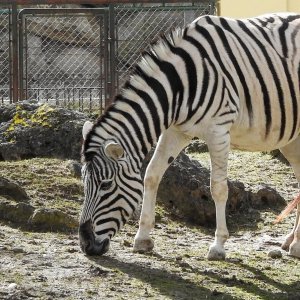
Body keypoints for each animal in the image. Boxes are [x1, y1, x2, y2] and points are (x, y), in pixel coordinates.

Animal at [78, 12, 298, 258]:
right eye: (84, 182)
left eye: (106, 185)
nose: (86, 245)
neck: (179, 86)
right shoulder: (175, 130)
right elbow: (151, 175)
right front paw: (142, 238)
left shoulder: (218, 131)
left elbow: (218, 188)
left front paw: (218, 246)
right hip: (292, 138)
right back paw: (292, 242)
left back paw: (295, 244)